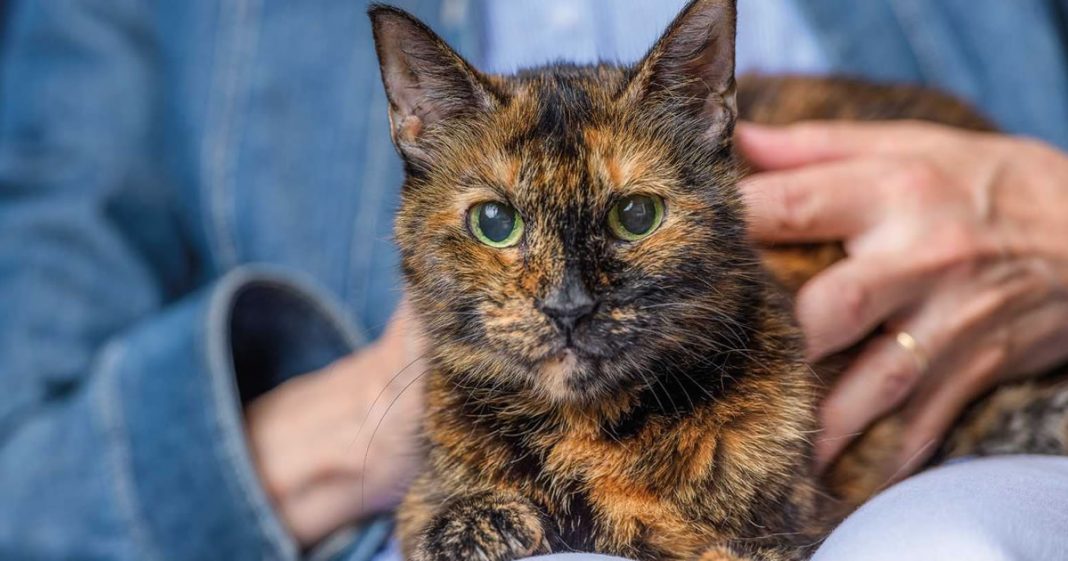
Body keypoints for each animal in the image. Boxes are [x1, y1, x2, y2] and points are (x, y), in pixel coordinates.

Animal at [367, 1, 1068, 559]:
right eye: (495, 222)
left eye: (637, 215)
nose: (568, 305)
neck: (587, 436)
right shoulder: (426, 494)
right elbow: (439, 518)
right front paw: (482, 520)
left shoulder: (766, 540)